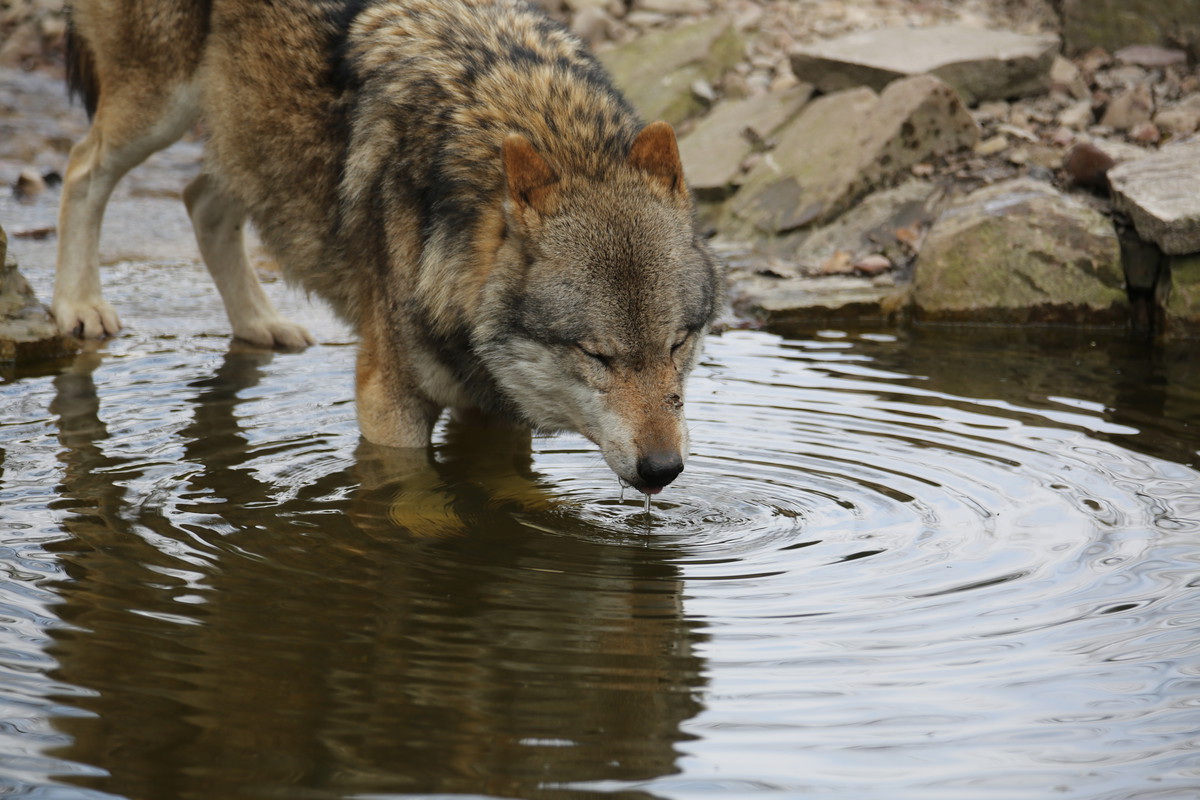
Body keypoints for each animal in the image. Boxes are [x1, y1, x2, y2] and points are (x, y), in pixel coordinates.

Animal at [53, 0, 723, 495]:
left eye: (677, 344)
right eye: (597, 355)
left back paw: (262, 322)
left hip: (250, 141)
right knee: (82, 166)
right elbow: (410, 496)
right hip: (159, 110)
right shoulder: (387, 405)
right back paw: (78, 307)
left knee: (199, 200)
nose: (663, 469)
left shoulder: (494, 411)